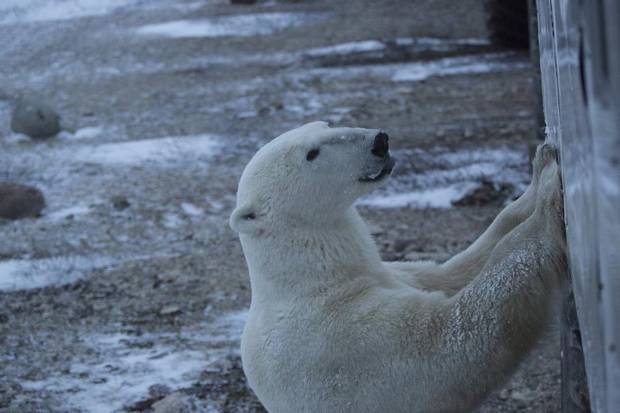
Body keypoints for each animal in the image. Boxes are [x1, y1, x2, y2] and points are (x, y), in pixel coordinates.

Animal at [229, 121, 568, 412]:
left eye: (325, 124)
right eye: (311, 153)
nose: (379, 141)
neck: (316, 277)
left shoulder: (396, 274)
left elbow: (453, 270)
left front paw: (537, 171)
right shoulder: (348, 341)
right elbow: (459, 333)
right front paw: (550, 190)